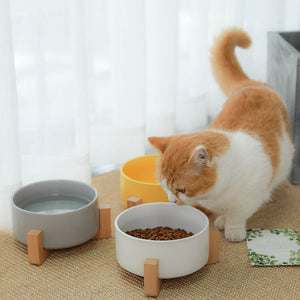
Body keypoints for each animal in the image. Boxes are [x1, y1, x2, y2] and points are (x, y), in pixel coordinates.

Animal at [149, 28, 294, 243]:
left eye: (181, 189)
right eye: (163, 185)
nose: (172, 201)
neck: (217, 195)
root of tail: (249, 83)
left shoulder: (249, 199)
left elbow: (237, 216)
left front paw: (232, 230)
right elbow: (226, 214)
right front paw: (221, 221)